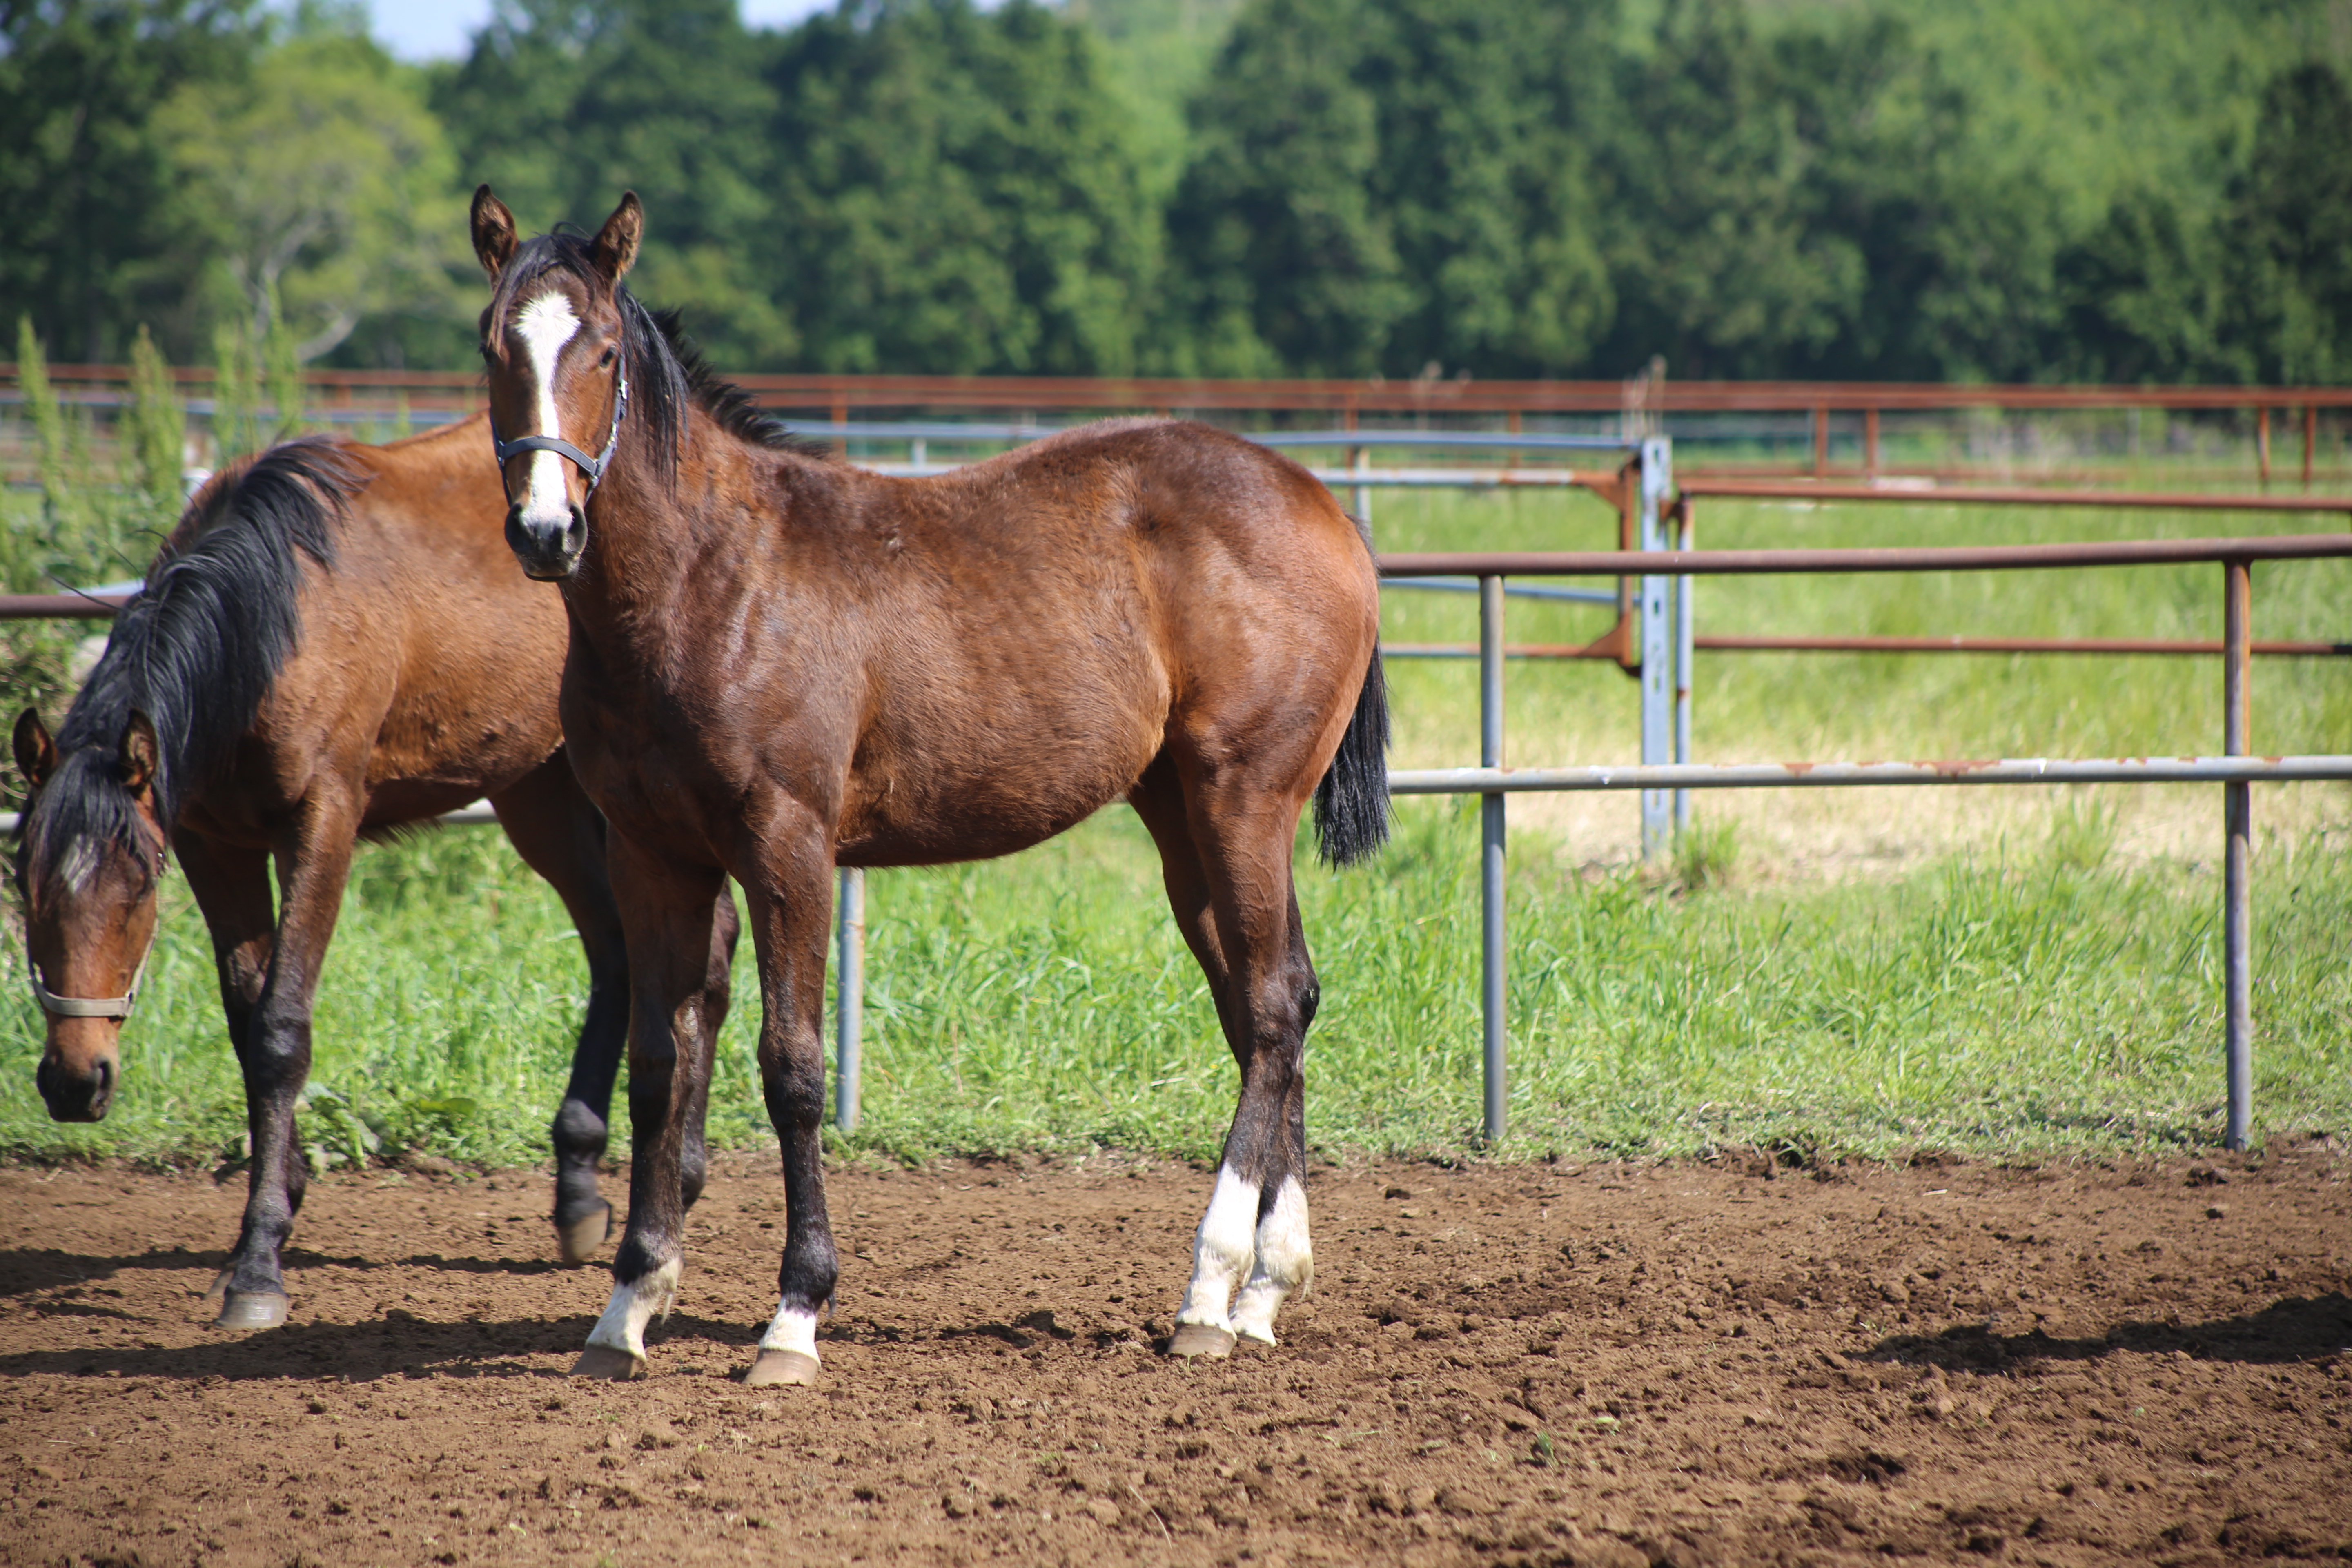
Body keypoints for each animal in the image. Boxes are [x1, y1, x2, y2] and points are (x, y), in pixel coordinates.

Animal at [9, 423, 734, 1335]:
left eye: (138, 890)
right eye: (22, 883)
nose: (76, 1080)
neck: (273, 620)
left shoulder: (322, 822)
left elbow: (282, 1032)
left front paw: (258, 1265)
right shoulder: (216, 845)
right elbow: (247, 1024)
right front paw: (272, 1207)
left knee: (700, 956)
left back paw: (681, 1171)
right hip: (539, 788)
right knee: (616, 952)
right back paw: (577, 1189)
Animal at [468, 187, 1383, 1382]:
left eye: (605, 350)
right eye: (494, 346)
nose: (545, 529)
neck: (710, 586)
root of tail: (1321, 503)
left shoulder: (789, 846)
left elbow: (792, 1068)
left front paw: (795, 1316)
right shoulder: (651, 854)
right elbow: (661, 1065)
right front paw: (627, 1304)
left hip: (1246, 799)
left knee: (1272, 1010)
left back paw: (1208, 1288)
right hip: (1183, 816)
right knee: (1273, 1002)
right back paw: (1265, 1292)